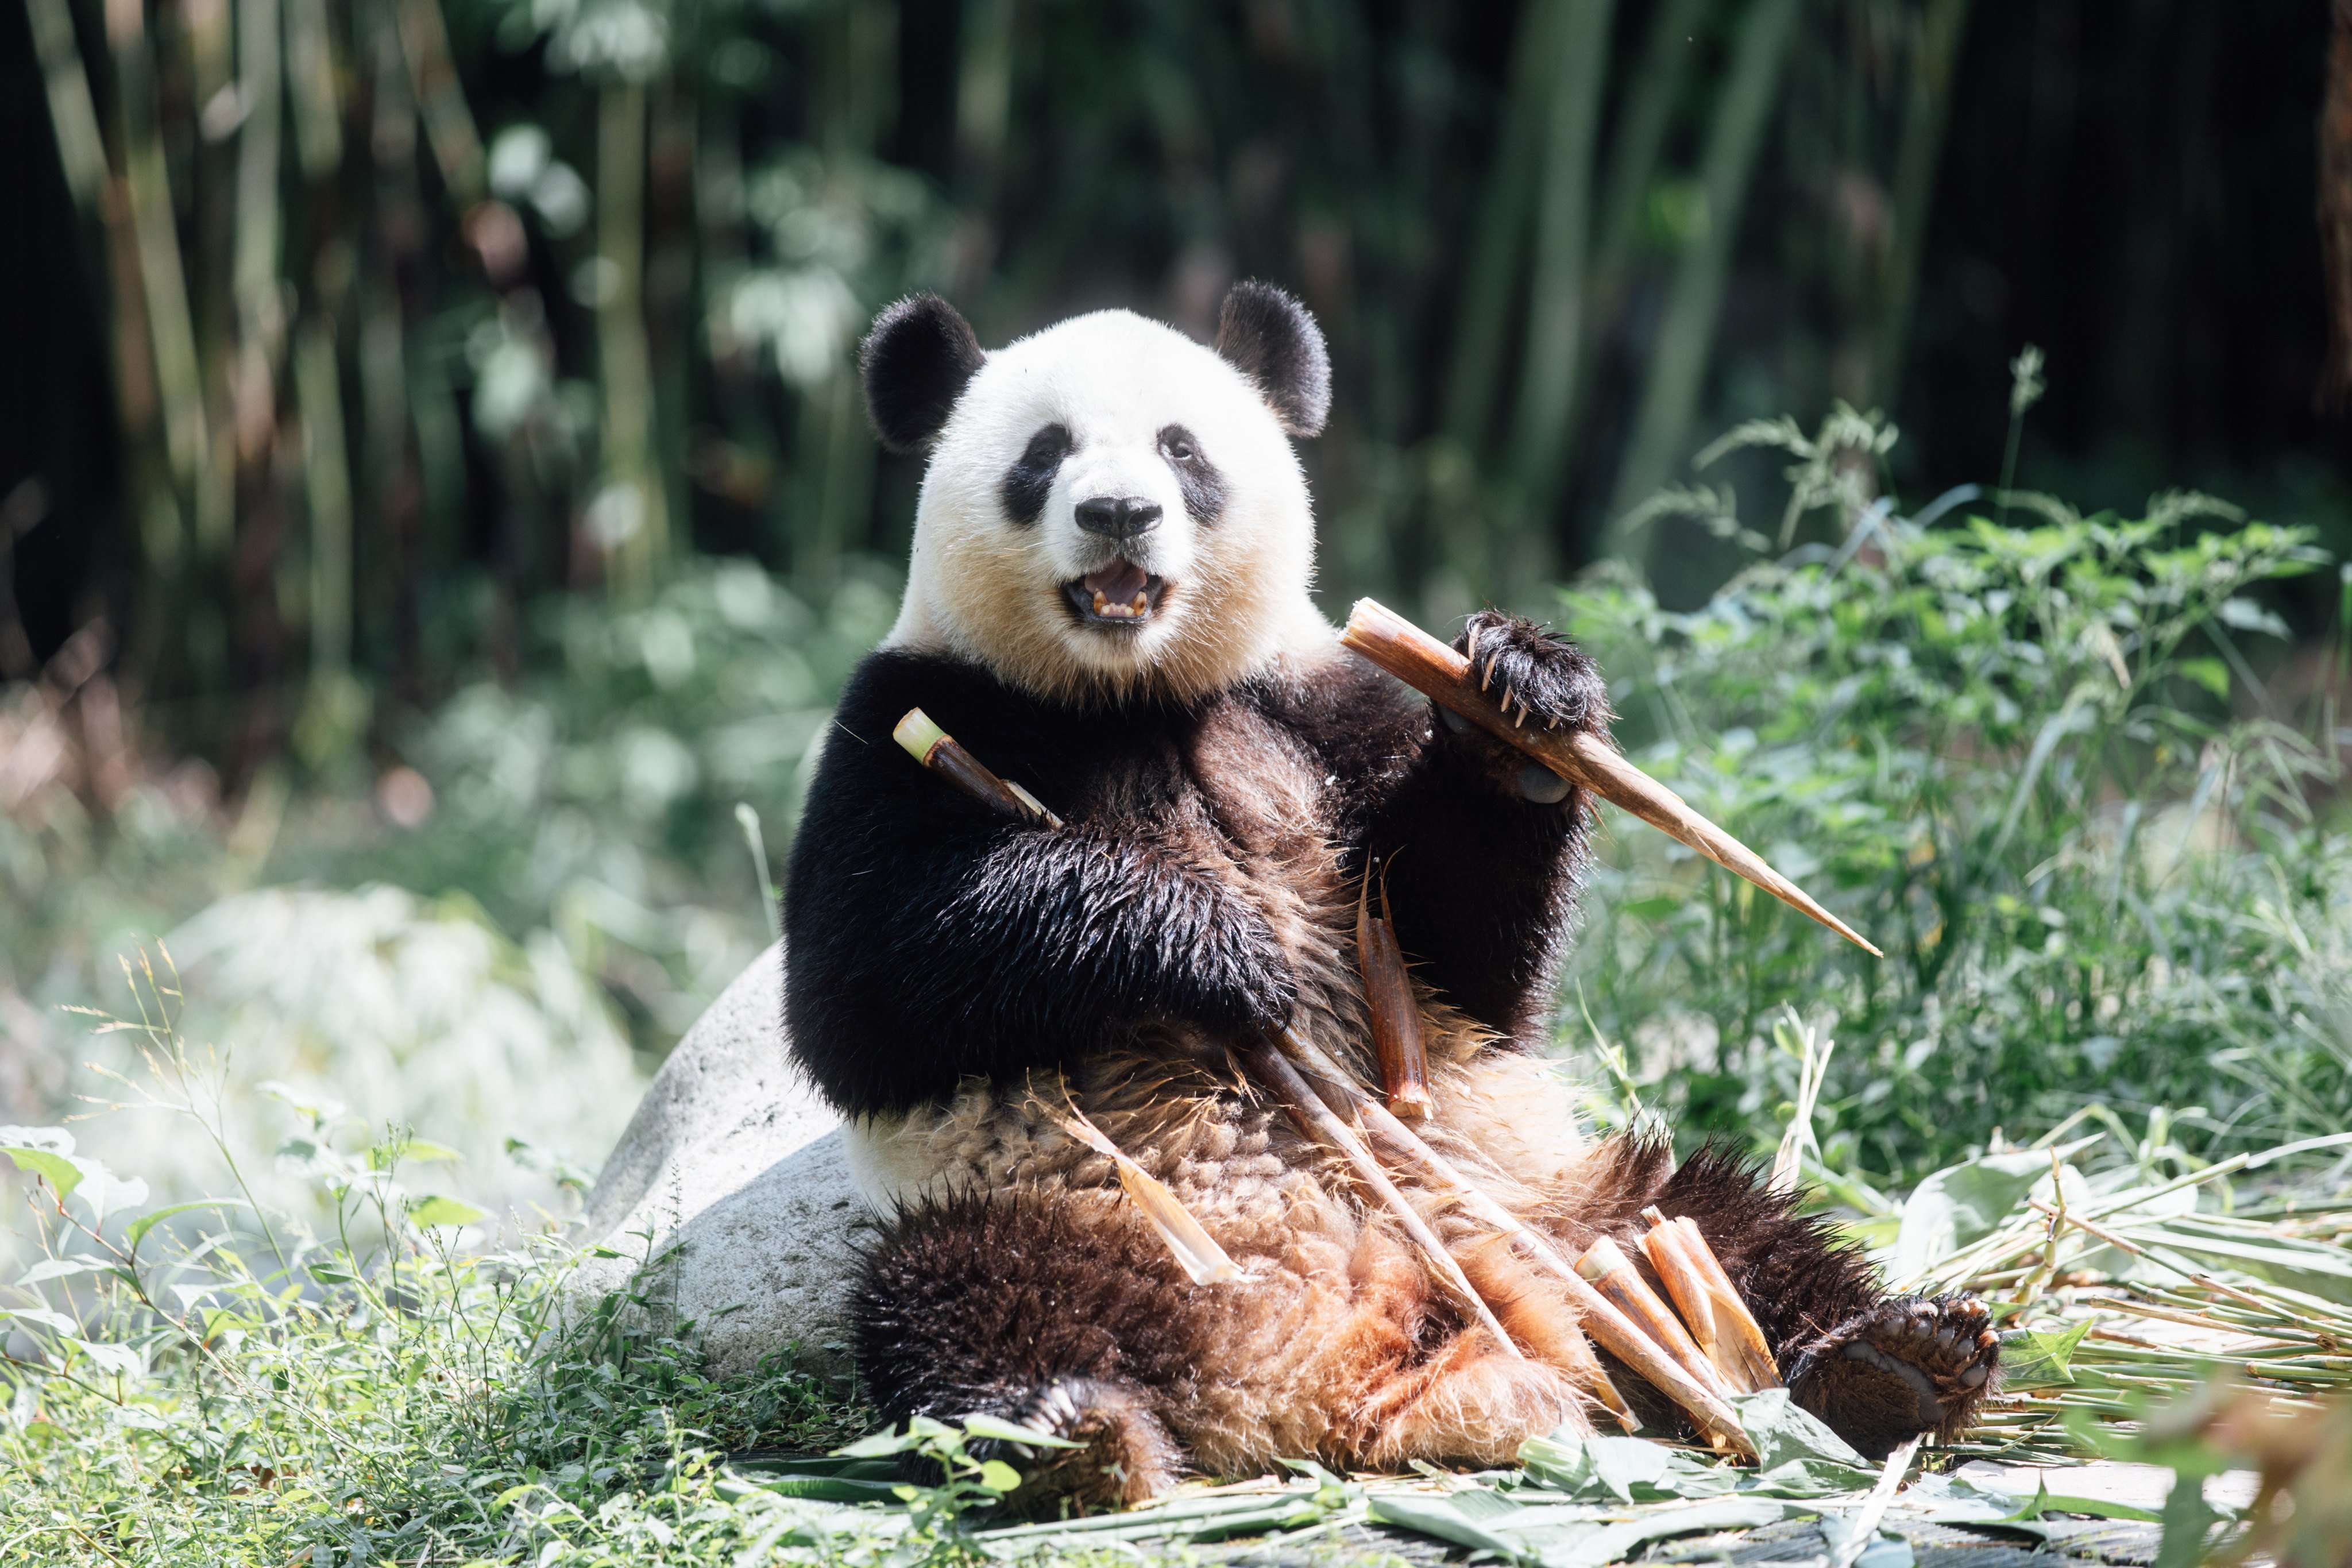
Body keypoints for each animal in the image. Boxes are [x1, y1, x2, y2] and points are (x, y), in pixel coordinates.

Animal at [781, 288, 1994, 1513]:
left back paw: (1892, 1363)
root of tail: (1340, 1347)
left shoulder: (1326, 708)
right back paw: (1067, 1436)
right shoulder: (911, 716)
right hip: (1088, 1213)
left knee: (1722, 1223)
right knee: (955, 1298)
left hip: (1558, 1198)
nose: (1120, 511)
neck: (1138, 693)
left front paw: (1522, 697)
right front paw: (1209, 951)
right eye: (1044, 453)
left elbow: (1461, 954)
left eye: (1182, 450)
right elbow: (867, 988)